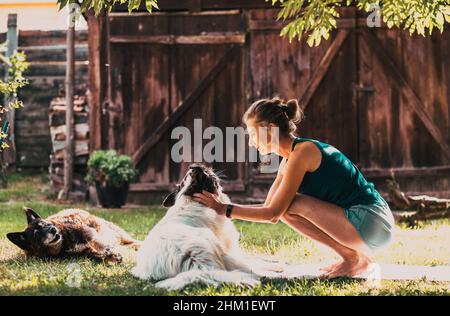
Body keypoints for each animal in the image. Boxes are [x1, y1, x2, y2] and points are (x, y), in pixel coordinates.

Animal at [6, 206, 141, 262]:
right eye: (37, 234)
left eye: (45, 224)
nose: (53, 229)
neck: (65, 243)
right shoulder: (85, 253)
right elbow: (97, 257)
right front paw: (111, 257)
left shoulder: (82, 228)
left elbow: (95, 241)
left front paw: (108, 251)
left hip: (119, 234)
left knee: (132, 242)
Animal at [132, 164, 272, 290]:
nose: (196, 166)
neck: (191, 198)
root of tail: (198, 264)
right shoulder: (227, 248)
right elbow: (251, 262)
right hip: (211, 242)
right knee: (246, 268)